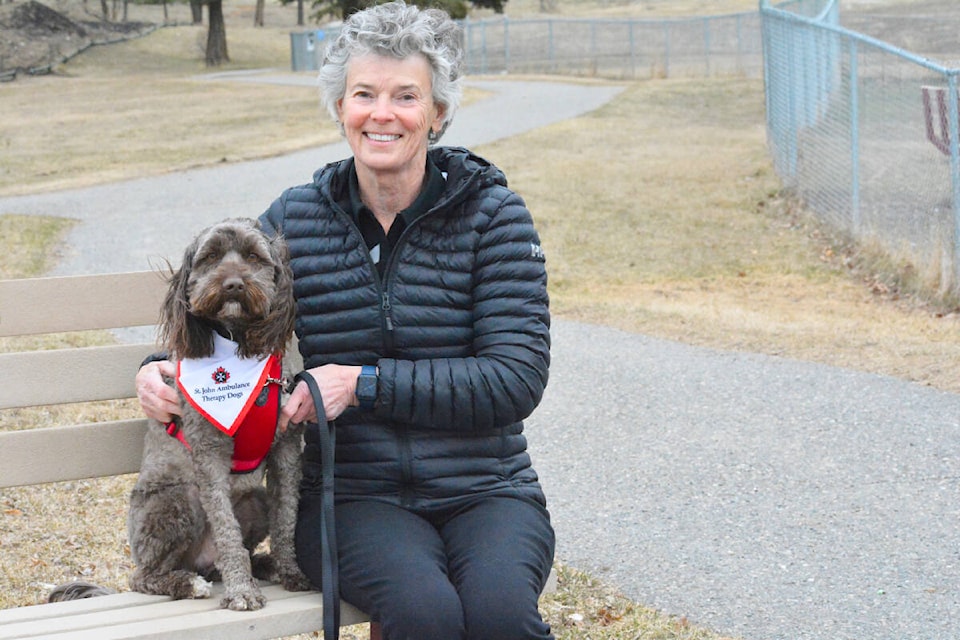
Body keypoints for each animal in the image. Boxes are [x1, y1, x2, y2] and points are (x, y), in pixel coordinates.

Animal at [127, 219, 312, 608]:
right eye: (210, 257)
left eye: (254, 256)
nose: (233, 284)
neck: (240, 348)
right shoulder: (210, 454)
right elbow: (227, 532)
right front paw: (241, 590)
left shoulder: (287, 449)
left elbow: (286, 519)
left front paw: (290, 570)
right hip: (176, 501)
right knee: (143, 576)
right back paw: (187, 583)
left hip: (255, 500)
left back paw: (264, 564)